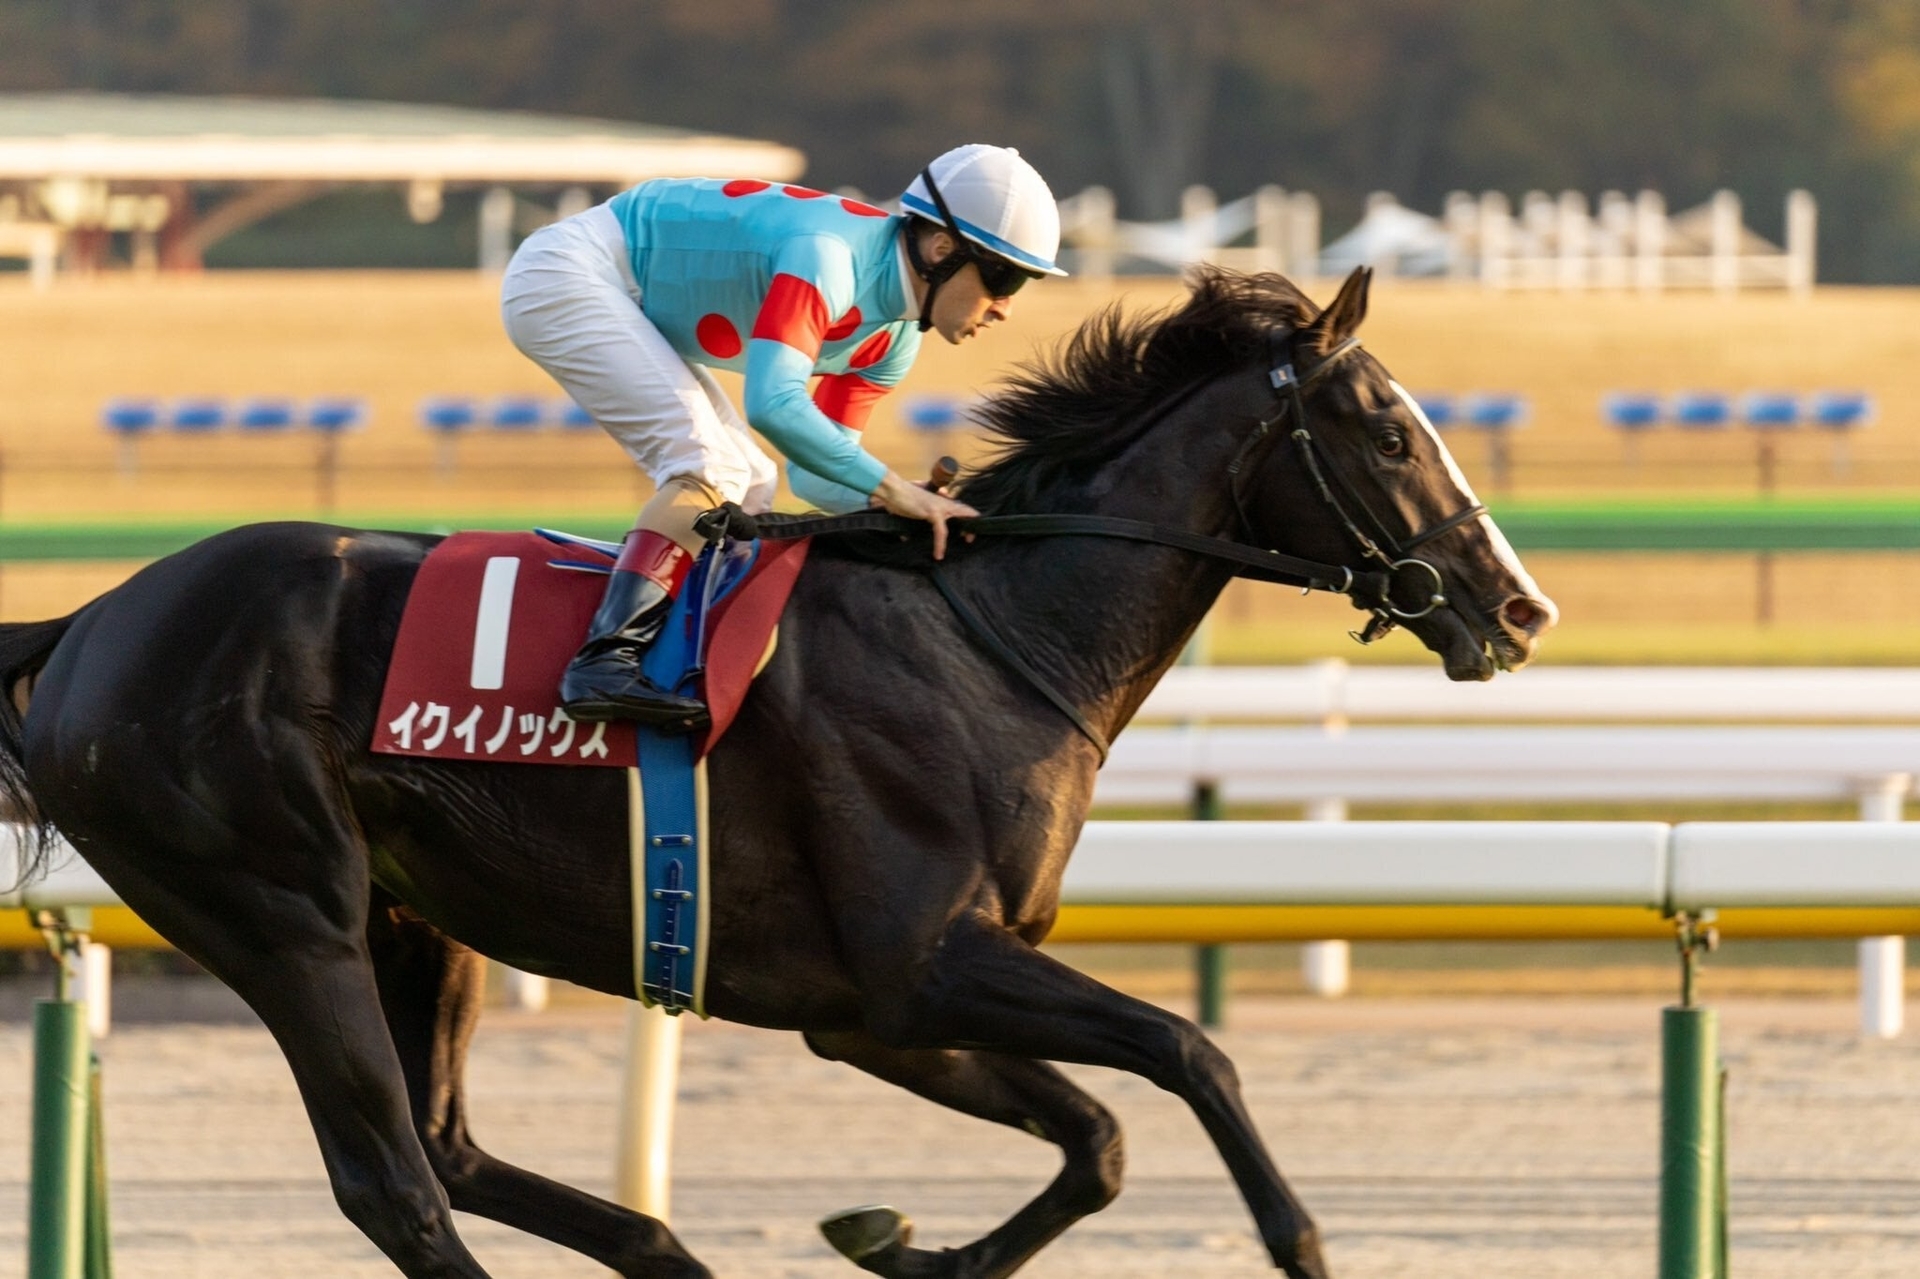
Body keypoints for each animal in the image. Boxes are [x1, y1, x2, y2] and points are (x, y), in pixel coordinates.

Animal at [0, 266, 1555, 1279]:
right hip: (279, 912)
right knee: (393, 1183)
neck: (990, 633)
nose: (1521, 609)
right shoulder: (924, 964)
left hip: (413, 914)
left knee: (444, 1149)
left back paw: (666, 1252)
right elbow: (1188, 1051)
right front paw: (1299, 1236)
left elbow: (1101, 1136)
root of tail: (91, 618)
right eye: (1393, 431)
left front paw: (902, 1241)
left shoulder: (870, 1010)